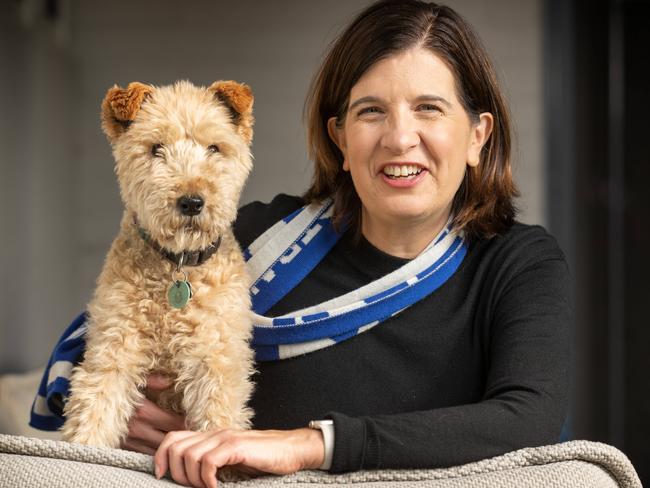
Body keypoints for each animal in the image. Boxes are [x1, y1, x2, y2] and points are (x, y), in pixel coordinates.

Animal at [60, 80, 253, 450]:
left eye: (214, 147)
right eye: (155, 148)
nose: (191, 202)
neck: (176, 267)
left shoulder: (214, 357)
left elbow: (218, 417)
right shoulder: (113, 345)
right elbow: (94, 410)